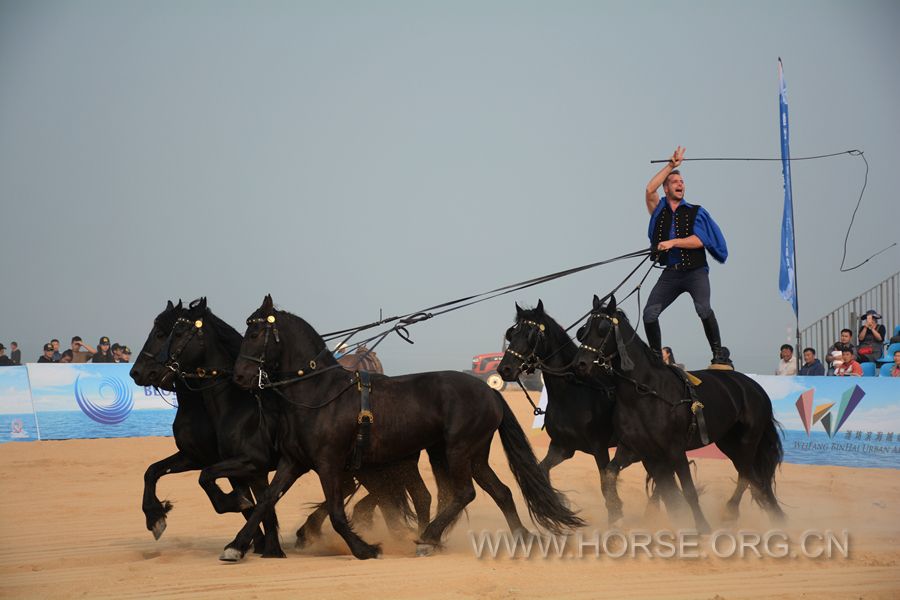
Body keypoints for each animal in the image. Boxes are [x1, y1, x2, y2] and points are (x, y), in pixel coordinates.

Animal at [223, 296, 584, 564]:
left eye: (254, 334)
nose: (239, 376)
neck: (319, 393)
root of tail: (488, 390)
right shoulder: (293, 462)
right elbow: (266, 500)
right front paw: (236, 546)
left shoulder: (330, 464)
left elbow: (337, 512)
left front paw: (365, 548)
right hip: (472, 454)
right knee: (501, 492)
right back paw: (521, 538)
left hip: (458, 450)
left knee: (465, 493)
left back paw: (427, 538)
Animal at [496, 300, 652, 524]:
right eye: (512, 333)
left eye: (531, 334)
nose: (504, 369)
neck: (573, 393)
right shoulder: (562, 447)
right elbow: (542, 471)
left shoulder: (599, 447)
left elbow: (606, 484)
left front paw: (615, 516)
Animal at [576, 296, 780, 528]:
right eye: (583, 330)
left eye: (603, 328)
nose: (580, 363)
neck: (646, 392)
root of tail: (755, 387)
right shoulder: (634, 448)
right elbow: (611, 475)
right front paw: (617, 512)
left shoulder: (675, 449)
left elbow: (688, 491)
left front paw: (701, 527)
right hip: (728, 441)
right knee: (755, 480)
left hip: (747, 441)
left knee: (747, 476)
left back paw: (731, 512)